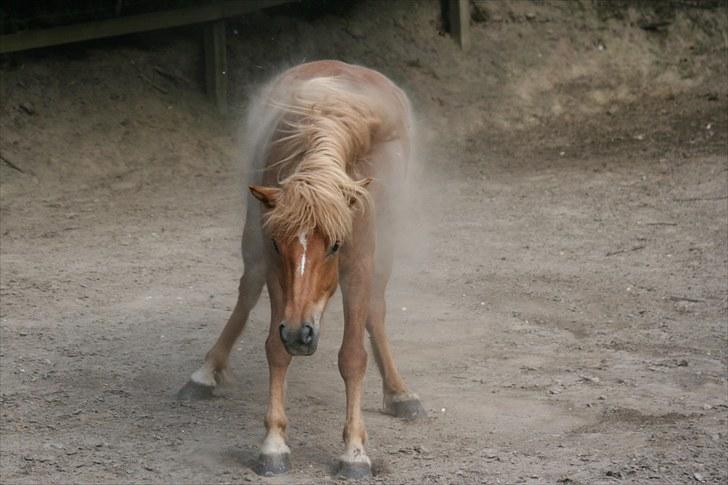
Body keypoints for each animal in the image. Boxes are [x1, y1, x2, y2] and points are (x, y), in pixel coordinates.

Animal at [178, 60, 424, 476]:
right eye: (280, 245)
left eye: (336, 245)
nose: (299, 333)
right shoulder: (274, 266)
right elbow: (275, 350)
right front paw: (273, 444)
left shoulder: (359, 265)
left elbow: (353, 356)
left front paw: (354, 450)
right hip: (253, 242)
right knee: (247, 292)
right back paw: (206, 373)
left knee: (375, 310)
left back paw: (398, 391)